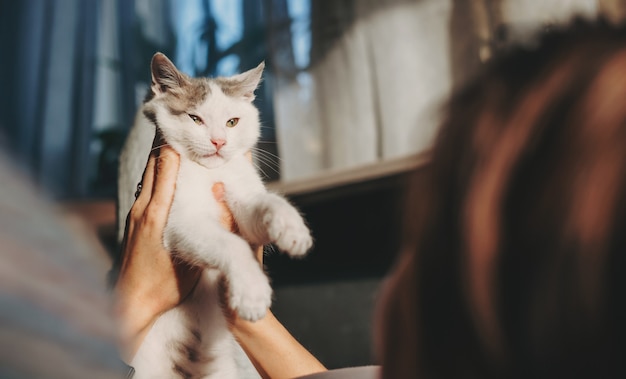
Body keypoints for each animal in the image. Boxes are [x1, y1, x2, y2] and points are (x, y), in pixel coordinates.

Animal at [116, 53, 310, 379]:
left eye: (232, 122)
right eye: (195, 119)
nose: (219, 141)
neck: (210, 173)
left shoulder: (243, 190)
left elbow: (264, 204)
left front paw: (291, 226)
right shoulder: (180, 223)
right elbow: (232, 244)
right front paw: (252, 291)